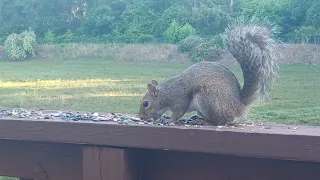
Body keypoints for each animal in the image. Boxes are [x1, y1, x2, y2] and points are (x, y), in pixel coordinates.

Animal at [139, 17, 282, 125]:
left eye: (146, 103)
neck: (165, 93)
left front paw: (170, 121)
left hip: (208, 100)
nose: (140, 117)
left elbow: (179, 112)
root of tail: (238, 106)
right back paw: (197, 118)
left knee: (221, 121)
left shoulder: (179, 99)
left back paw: (204, 121)